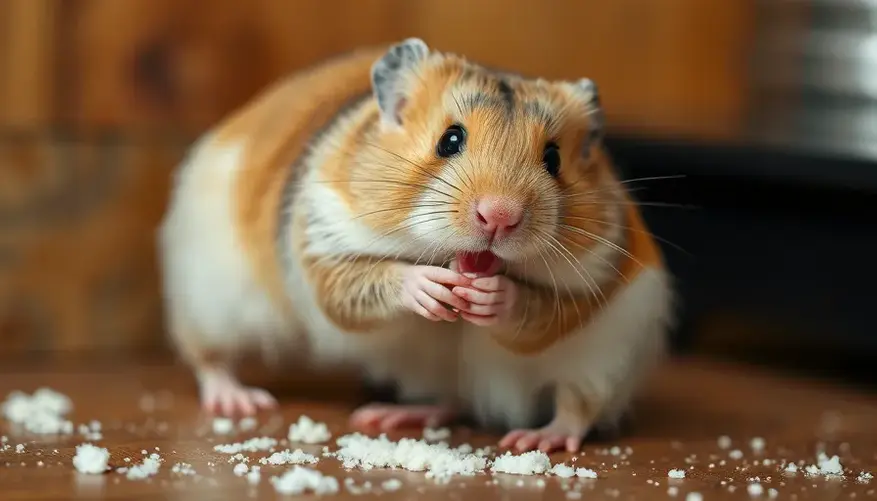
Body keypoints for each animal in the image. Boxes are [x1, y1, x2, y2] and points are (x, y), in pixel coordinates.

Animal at [157, 37, 675, 453]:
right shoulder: (321, 241)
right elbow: (359, 284)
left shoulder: (600, 274)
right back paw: (247, 402)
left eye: (553, 158)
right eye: (450, 139)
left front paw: (491, 295)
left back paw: (532, 438)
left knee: (572, 406)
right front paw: (430, 286)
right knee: (209, 357)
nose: (499, 215)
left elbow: (543, 310)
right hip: (209, 300)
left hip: (606, 355)